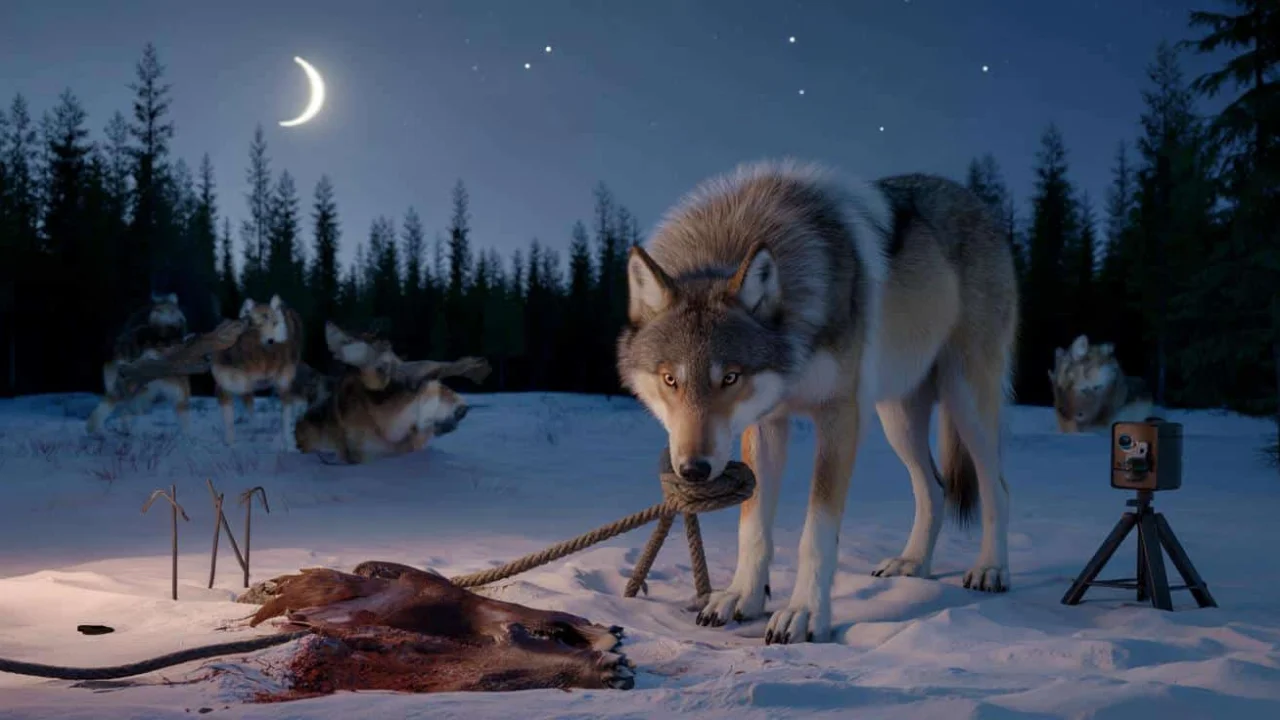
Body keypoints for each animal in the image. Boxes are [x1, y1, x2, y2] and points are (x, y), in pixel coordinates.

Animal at [211, 294, 304, 449]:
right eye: (257, 325)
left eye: (274, 323)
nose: (271, 341)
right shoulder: (226, 389)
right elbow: (232, 421)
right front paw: (230, 442)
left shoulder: (282, 385)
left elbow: (283, 418)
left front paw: (289, 443)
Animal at [617, 161, 1019, 645]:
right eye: (670, 379)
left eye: (729, 378)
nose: (694, 470)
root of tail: (975, 200)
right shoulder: (766, 423)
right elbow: (752, 526)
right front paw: (742, 597)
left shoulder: (839, 416)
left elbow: (816, 533)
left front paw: (804, 614)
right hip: (897, 419)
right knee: (934, 488)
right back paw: (912, 564)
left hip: (964, 402)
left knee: (997, 486)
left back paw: (991, 568)